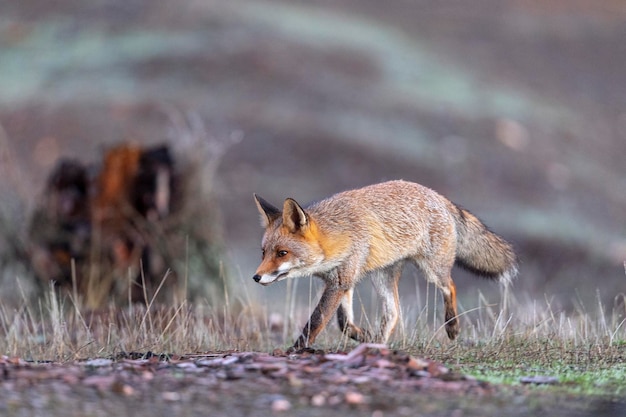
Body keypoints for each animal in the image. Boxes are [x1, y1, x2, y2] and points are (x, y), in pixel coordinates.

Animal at [251, 179, 516, 348]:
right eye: (263, 253)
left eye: (282, 253)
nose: (256, 277)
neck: (339, 234)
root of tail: (438, 196)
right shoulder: (343, 281)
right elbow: (344, 323)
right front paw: (364, 336)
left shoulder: (340, 280)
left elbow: (316, 321)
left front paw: (294, 351)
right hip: (382, 277)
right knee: (393, 313)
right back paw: (376, 345)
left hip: (431, 269)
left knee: (450, 286)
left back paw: (452, 327)